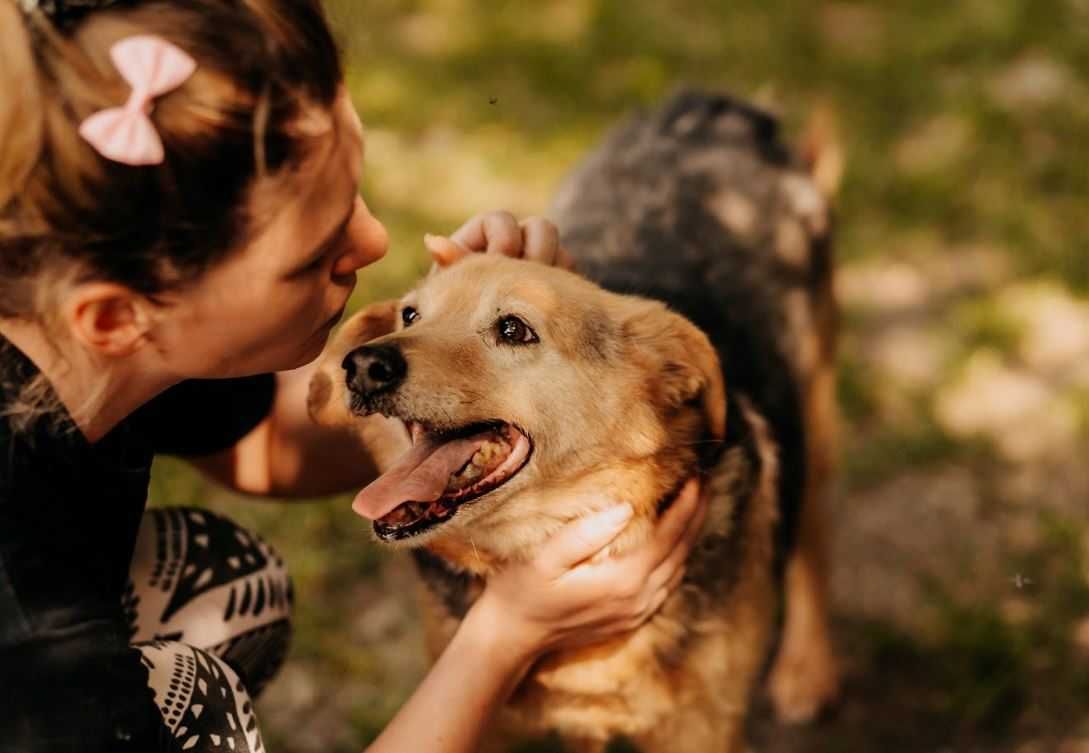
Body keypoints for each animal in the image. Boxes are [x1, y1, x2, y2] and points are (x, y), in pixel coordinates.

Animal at [309, 91, 840, 749]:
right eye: (410, 315)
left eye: (514, 329)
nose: (362, 365)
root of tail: (718, 106)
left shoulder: (702, 726)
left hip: (814, 401)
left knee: (813, 526)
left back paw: (806, 669)